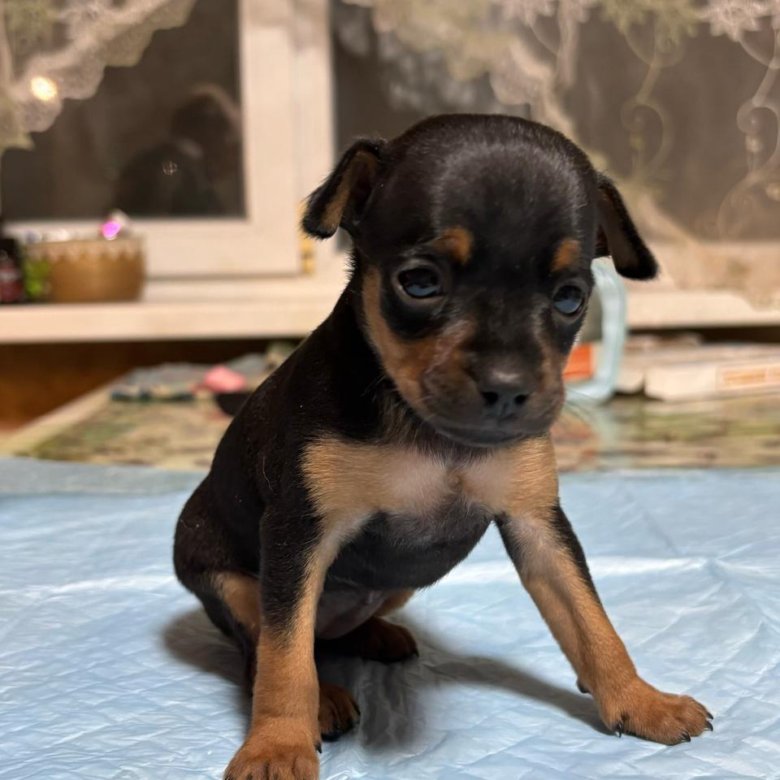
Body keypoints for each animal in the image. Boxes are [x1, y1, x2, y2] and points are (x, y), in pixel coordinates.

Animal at [174, 114, 711, 780]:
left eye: (570, 298)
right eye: (420, 283)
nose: (507, 388)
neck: (431, 434)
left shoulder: (537, 526)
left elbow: (592, 624)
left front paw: (641, 701)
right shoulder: (297, 538)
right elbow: (284, 660)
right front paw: (277, 745)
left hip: (398, 582)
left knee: (330, 633)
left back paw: (376, 637)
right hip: (228, 580)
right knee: (266, 647)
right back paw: (321, 698)